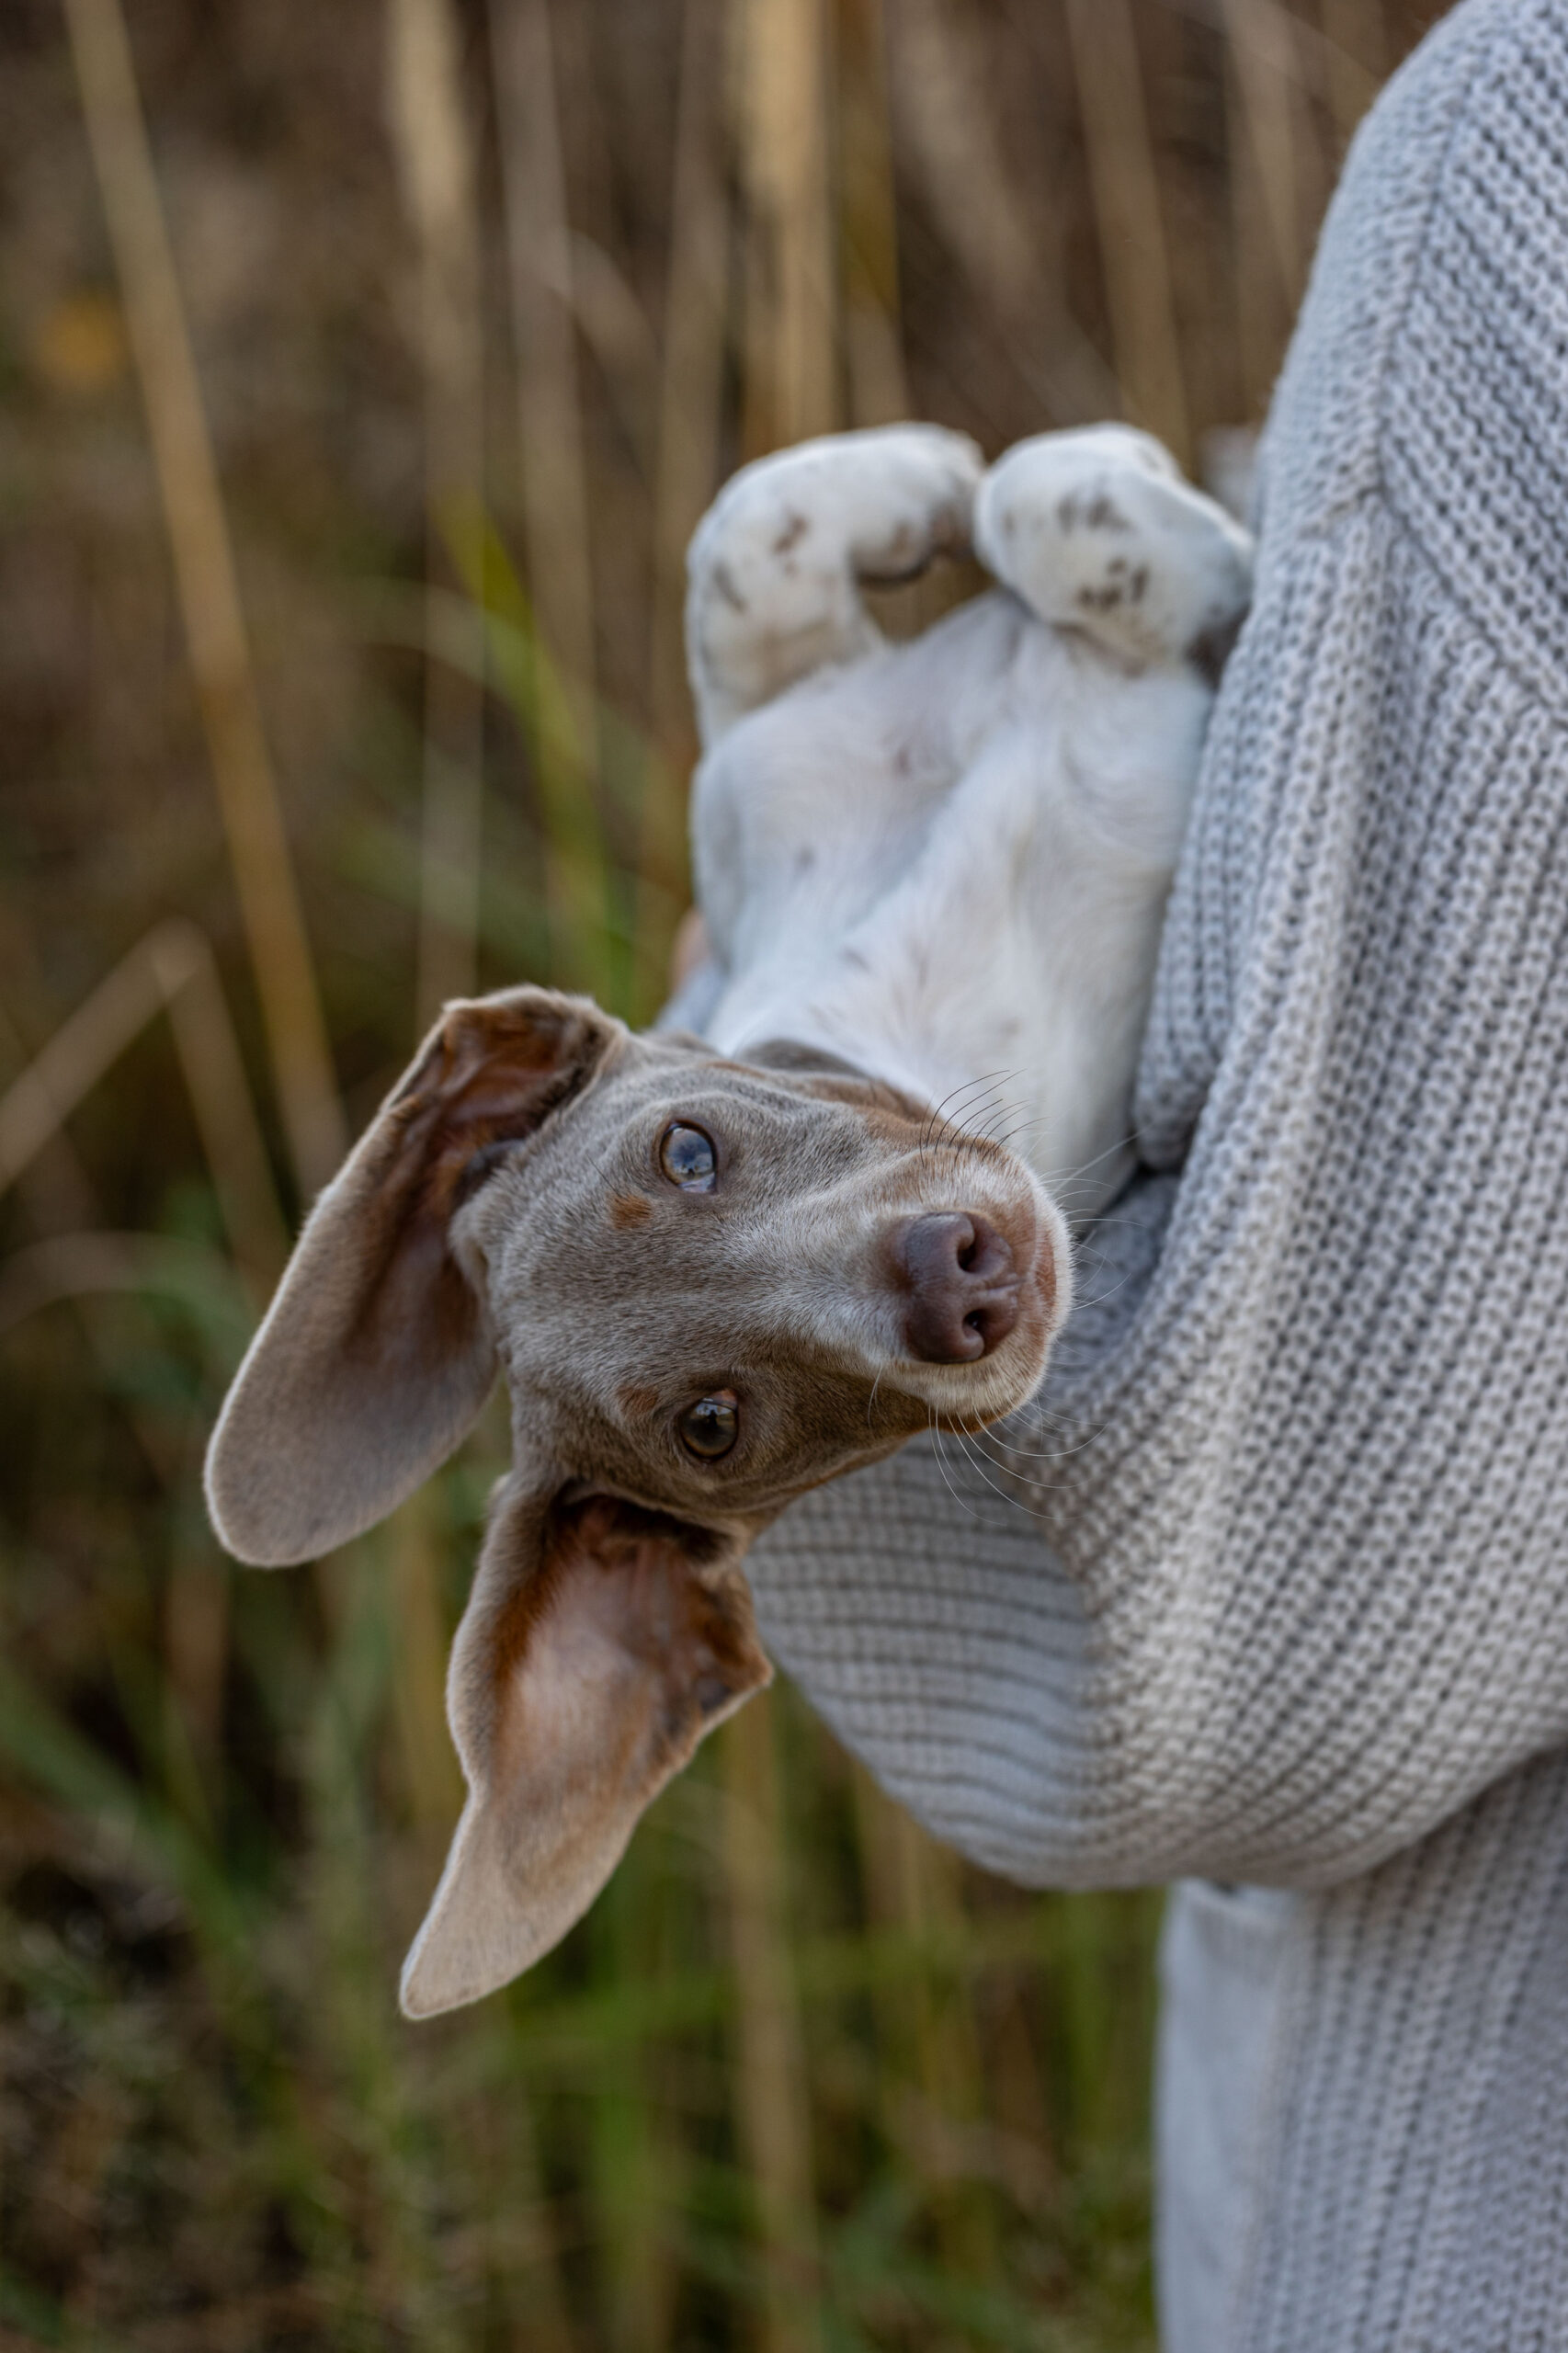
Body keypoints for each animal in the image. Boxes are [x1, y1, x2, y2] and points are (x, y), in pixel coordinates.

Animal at [201, 418, 1243, 2005]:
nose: (961, 1283)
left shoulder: (763, 755)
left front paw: (937, 483)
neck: (912, 992)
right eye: (713, 1424)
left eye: (686, 1150)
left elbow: (770, 536)